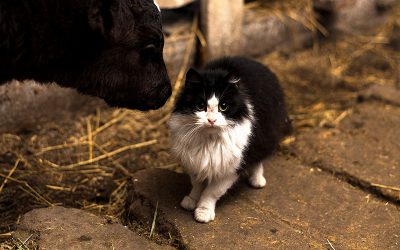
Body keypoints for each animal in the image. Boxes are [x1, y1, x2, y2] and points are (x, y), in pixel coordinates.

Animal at [169, 56, 290, 223]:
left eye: (224, 106)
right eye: (200, 106)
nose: (211, 120)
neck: (209, 140)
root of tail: (255, 62)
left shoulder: (229, 169)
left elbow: (211, 192)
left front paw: (203, 212)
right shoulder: (196, 162)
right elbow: (197, 185)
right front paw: (191, 201)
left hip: (264, 136)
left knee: (259, 160)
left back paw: (257, 180)